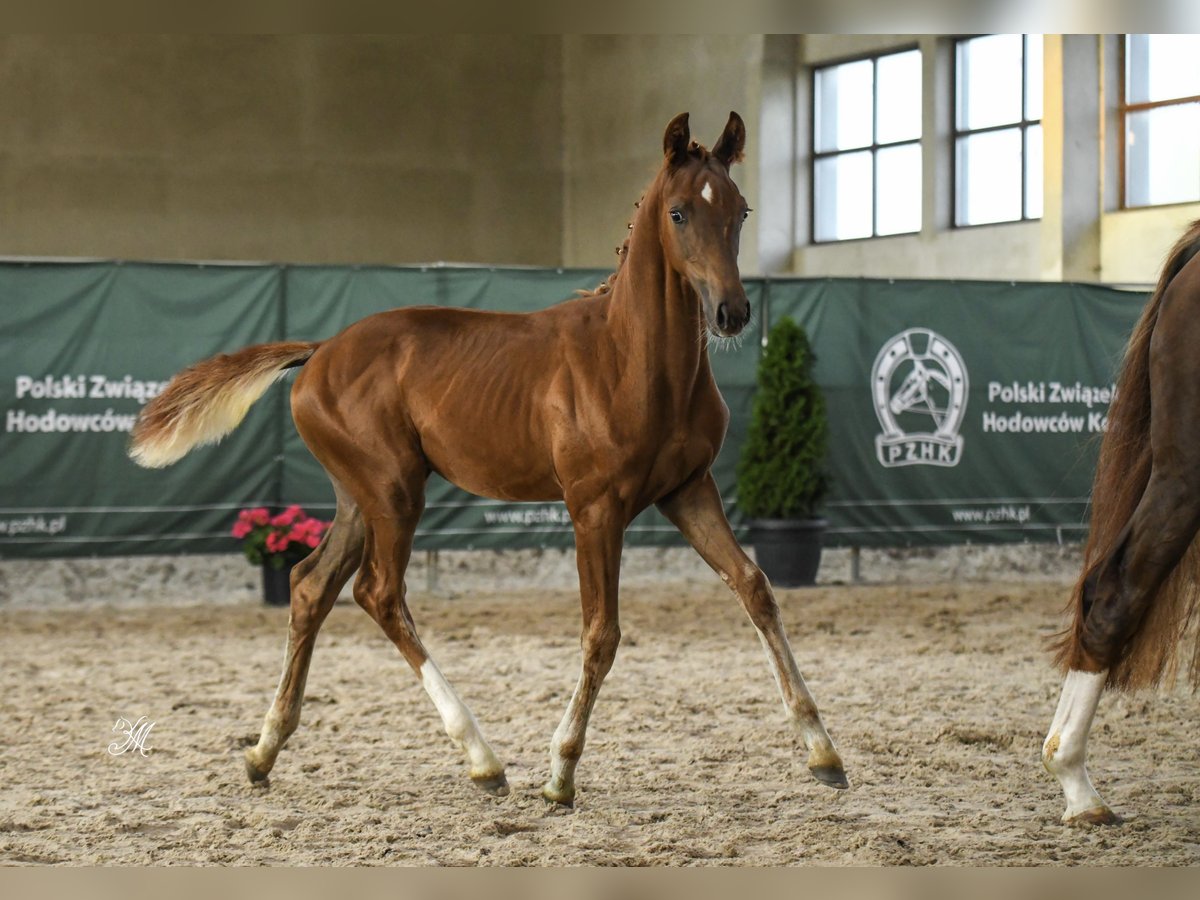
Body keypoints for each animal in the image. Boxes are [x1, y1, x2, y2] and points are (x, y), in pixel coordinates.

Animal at [131, 109, 849, 806]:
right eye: (678, 212)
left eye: (741, 210)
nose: (732, 312)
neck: (632, 359)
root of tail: (319, 352)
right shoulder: (595, 508)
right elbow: (601, 632)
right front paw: (560, 774)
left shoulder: (689, 490)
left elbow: (756, 588)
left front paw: (824, 754)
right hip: (394, 492)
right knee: (377, 592)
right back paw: (483, 760)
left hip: (360, 497)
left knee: (310, 584)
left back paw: (263, 752)